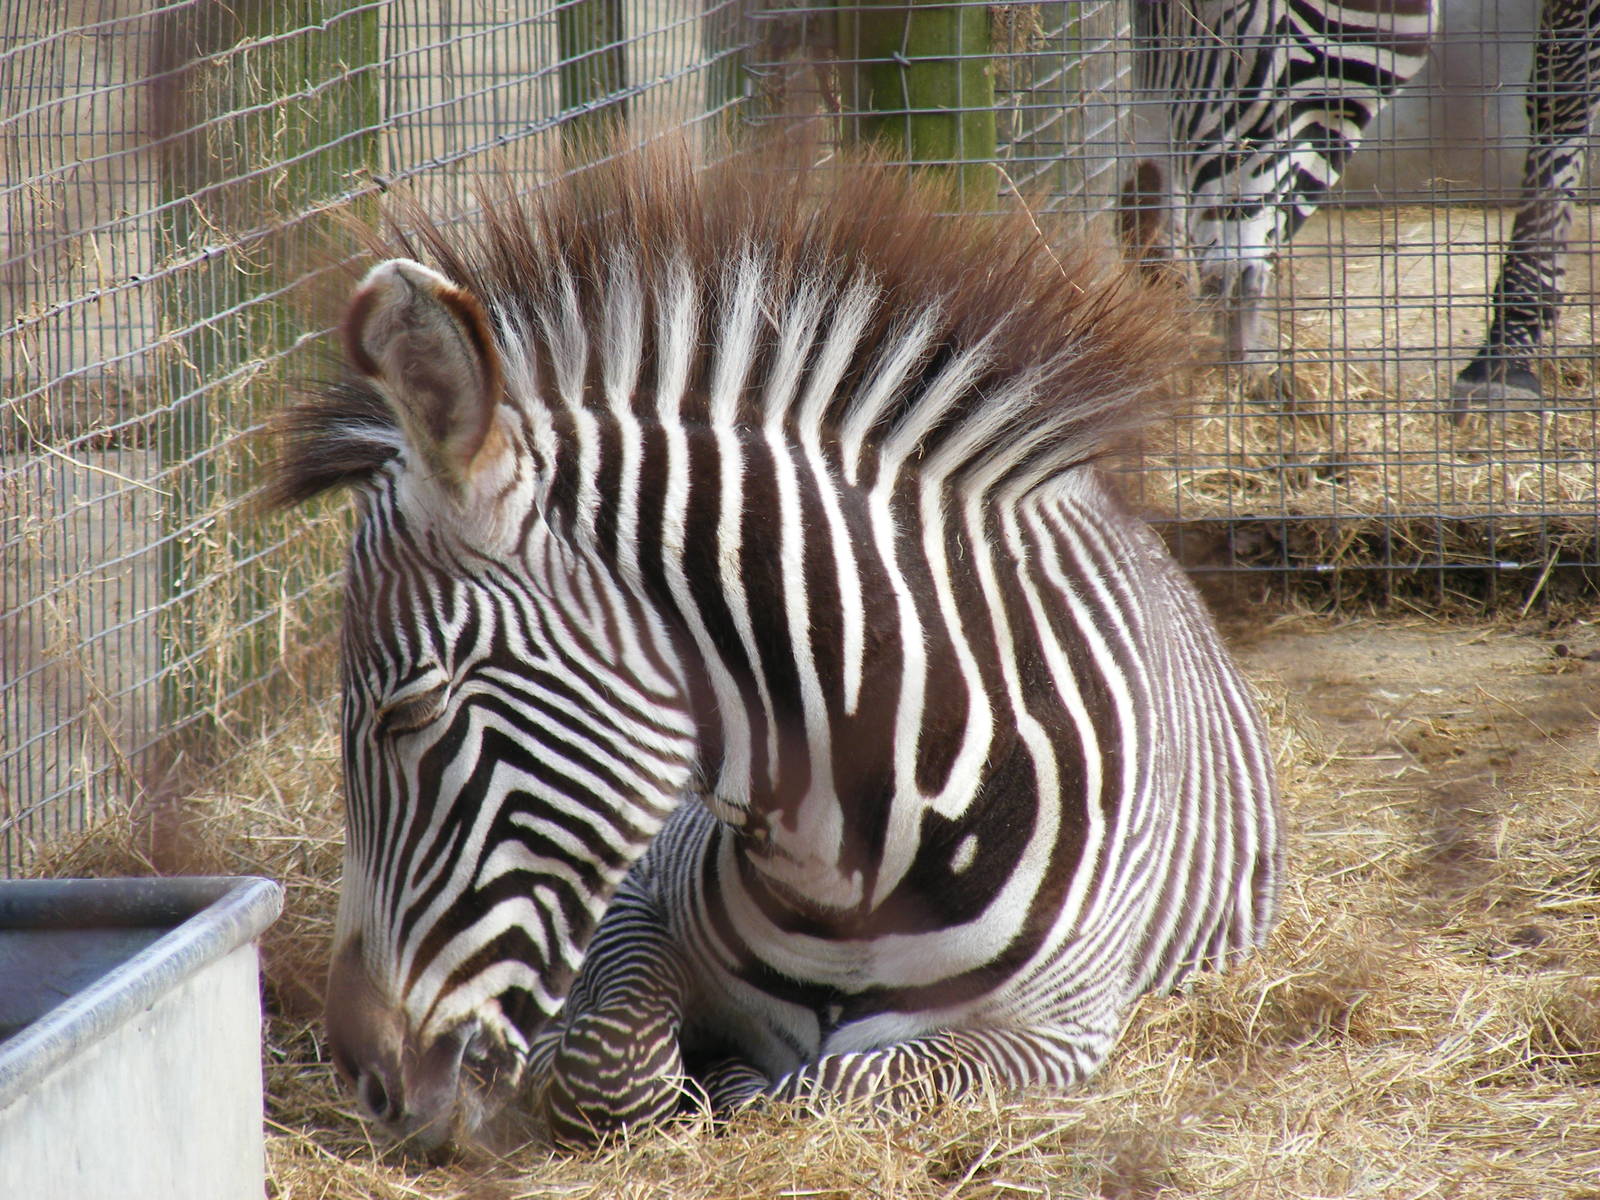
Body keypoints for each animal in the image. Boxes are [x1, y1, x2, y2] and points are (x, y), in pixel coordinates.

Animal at [270, 140, 1283, 1151]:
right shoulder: (635, 903)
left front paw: (742, 1085)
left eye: (412, 710)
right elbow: (611, 1061)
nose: (366, 1079)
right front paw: (679, 1071)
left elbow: (833, 1091)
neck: (847, 866)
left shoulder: (1051, 1035)